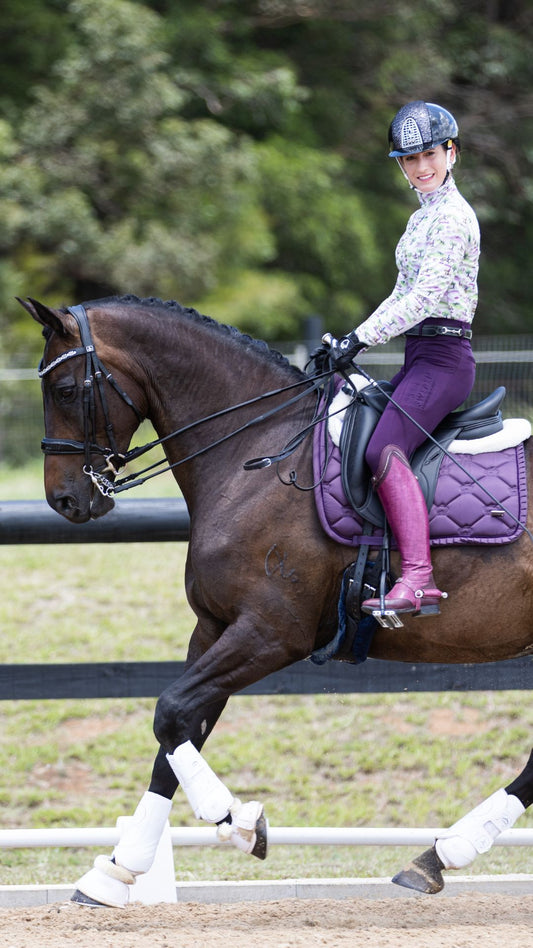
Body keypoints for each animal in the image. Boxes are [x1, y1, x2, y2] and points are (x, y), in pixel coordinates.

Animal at [18, 298, 532, 904]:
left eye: (64, 390)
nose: (64, 499)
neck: (255, 452)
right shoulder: (214, 627)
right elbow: (175, 734)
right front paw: (116, 871)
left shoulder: (270, 633)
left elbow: (171, 712)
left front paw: (237, 820)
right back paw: (436, 856)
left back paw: (446, 851)